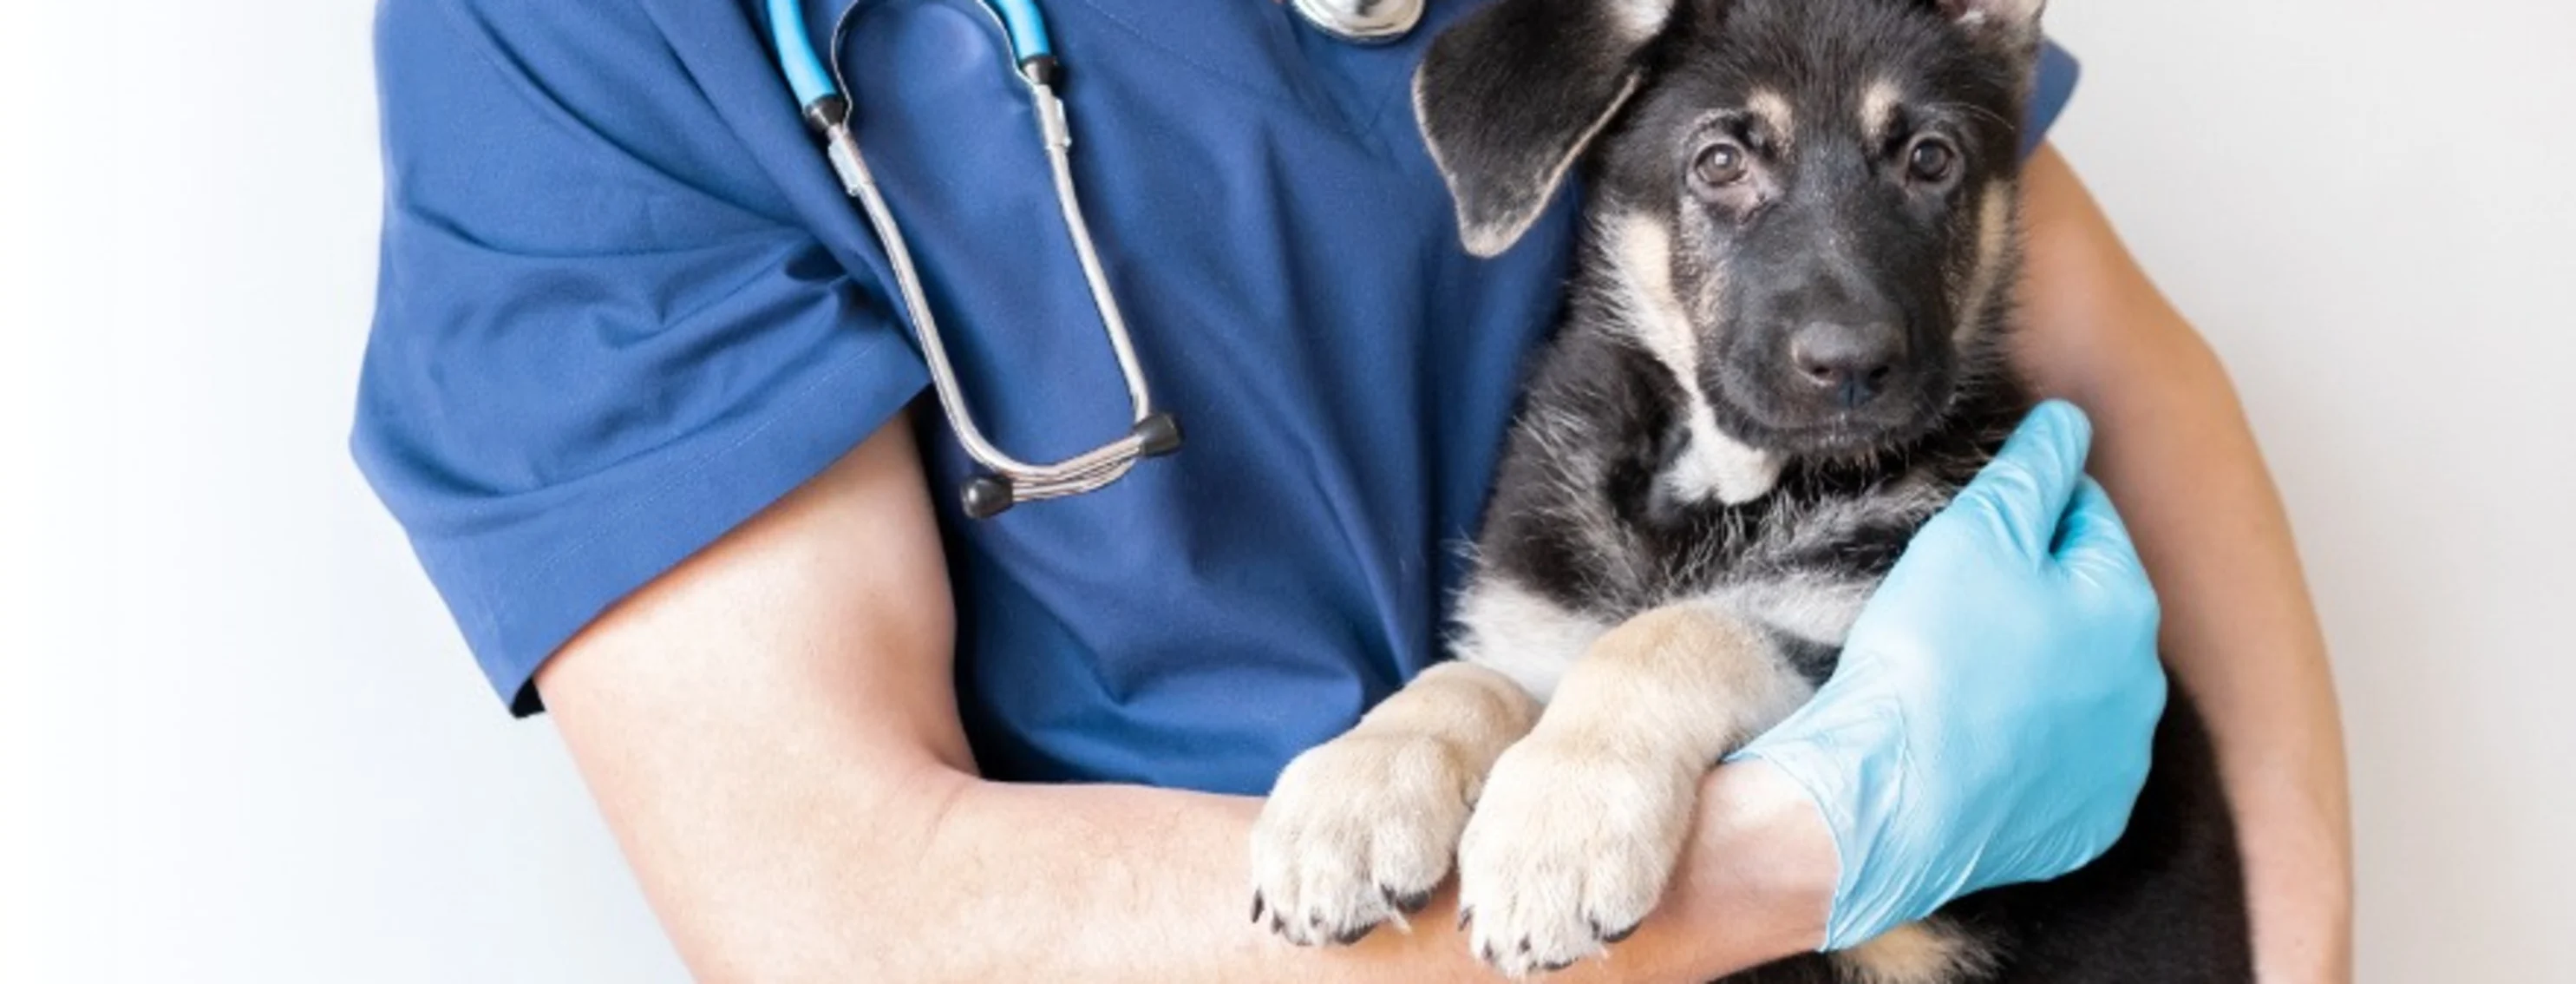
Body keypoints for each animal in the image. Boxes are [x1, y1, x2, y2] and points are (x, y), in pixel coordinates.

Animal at [1252, 0, 2256, 979]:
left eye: (1931, 159)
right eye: (1721, 162)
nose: (1853, 365)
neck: (1708, 488)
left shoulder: (1851, 637)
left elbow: (1676, 635)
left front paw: (1558, 828)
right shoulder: (1539, 621)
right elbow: (1469, 677)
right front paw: (1353, 794)